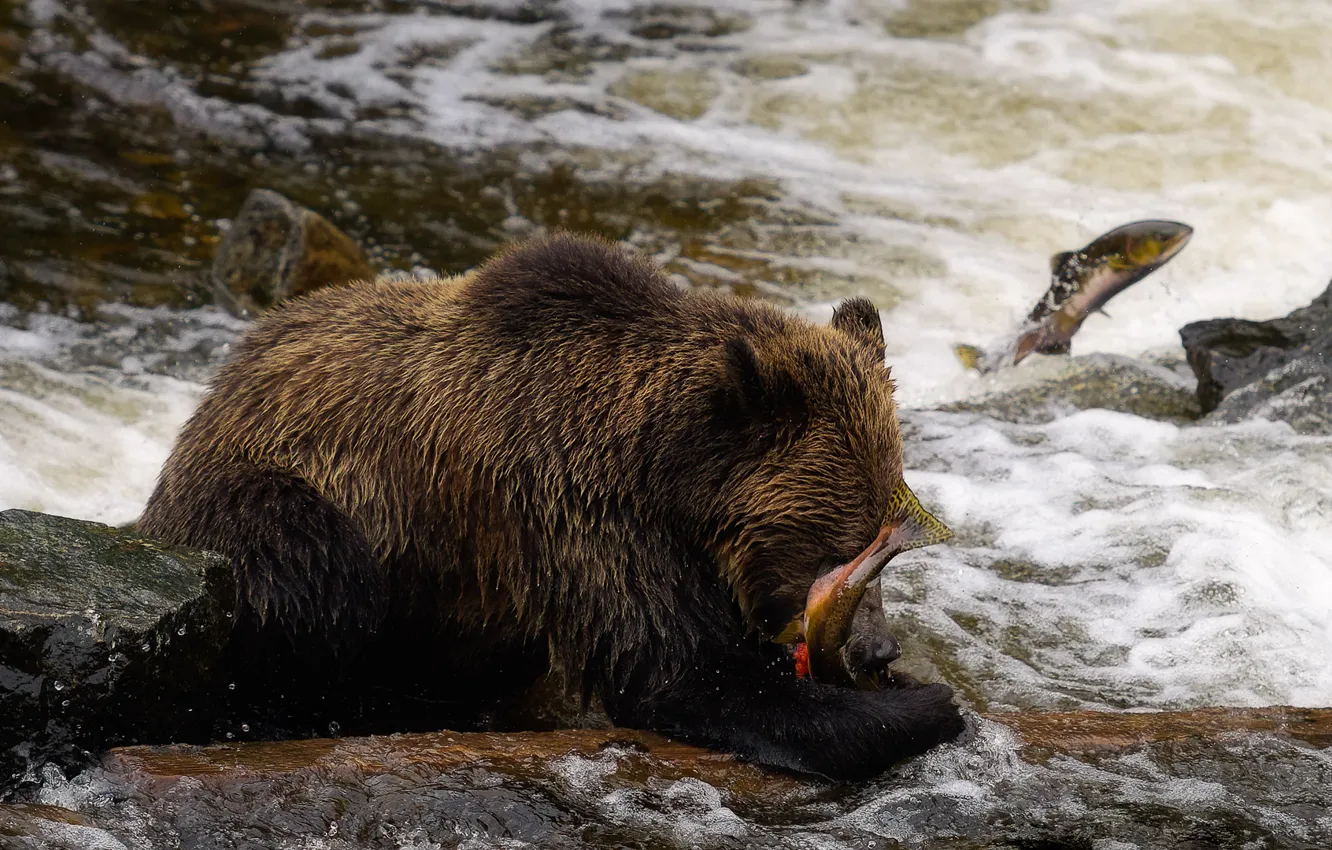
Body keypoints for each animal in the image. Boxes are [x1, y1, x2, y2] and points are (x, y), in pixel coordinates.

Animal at [138, 233, 964, 780]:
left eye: (887, 537)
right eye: (843, 542)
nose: (877, 650)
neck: (666, 469)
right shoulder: (572, 508)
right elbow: (681, 670)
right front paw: (928, 704)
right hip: (276, 507)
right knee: (315, 575)